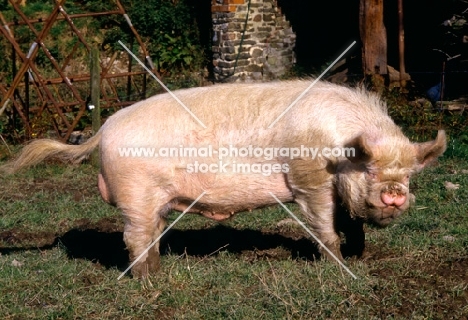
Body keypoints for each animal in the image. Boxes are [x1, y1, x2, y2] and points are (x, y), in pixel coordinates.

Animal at [0, 79, 446, 278]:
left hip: (155, 199)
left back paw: (158, 270)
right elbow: (325, 227)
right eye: (368, 168)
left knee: (152, 233)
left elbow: (353, 224)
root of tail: (105, 128)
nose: (395, 195)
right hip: (135, 192)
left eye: (409, 173)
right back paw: (146, 282)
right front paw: (337, 269)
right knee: (134, 237)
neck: (339, 148)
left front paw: (359, 257)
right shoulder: (309, 179)